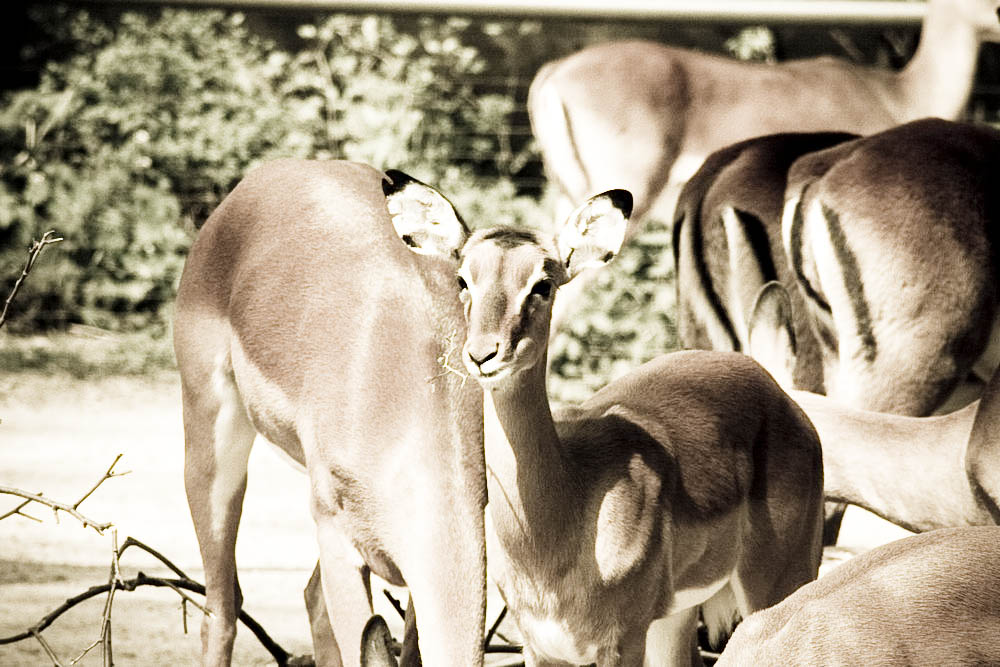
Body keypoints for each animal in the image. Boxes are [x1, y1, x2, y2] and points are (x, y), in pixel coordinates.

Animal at [382, 171, 824, 666]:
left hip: (780, 582)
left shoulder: (622, 641)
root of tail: (776, 391)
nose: (483, 354)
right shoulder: (541, 647)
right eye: (462, 278)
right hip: (675, 619)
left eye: (543, 283)